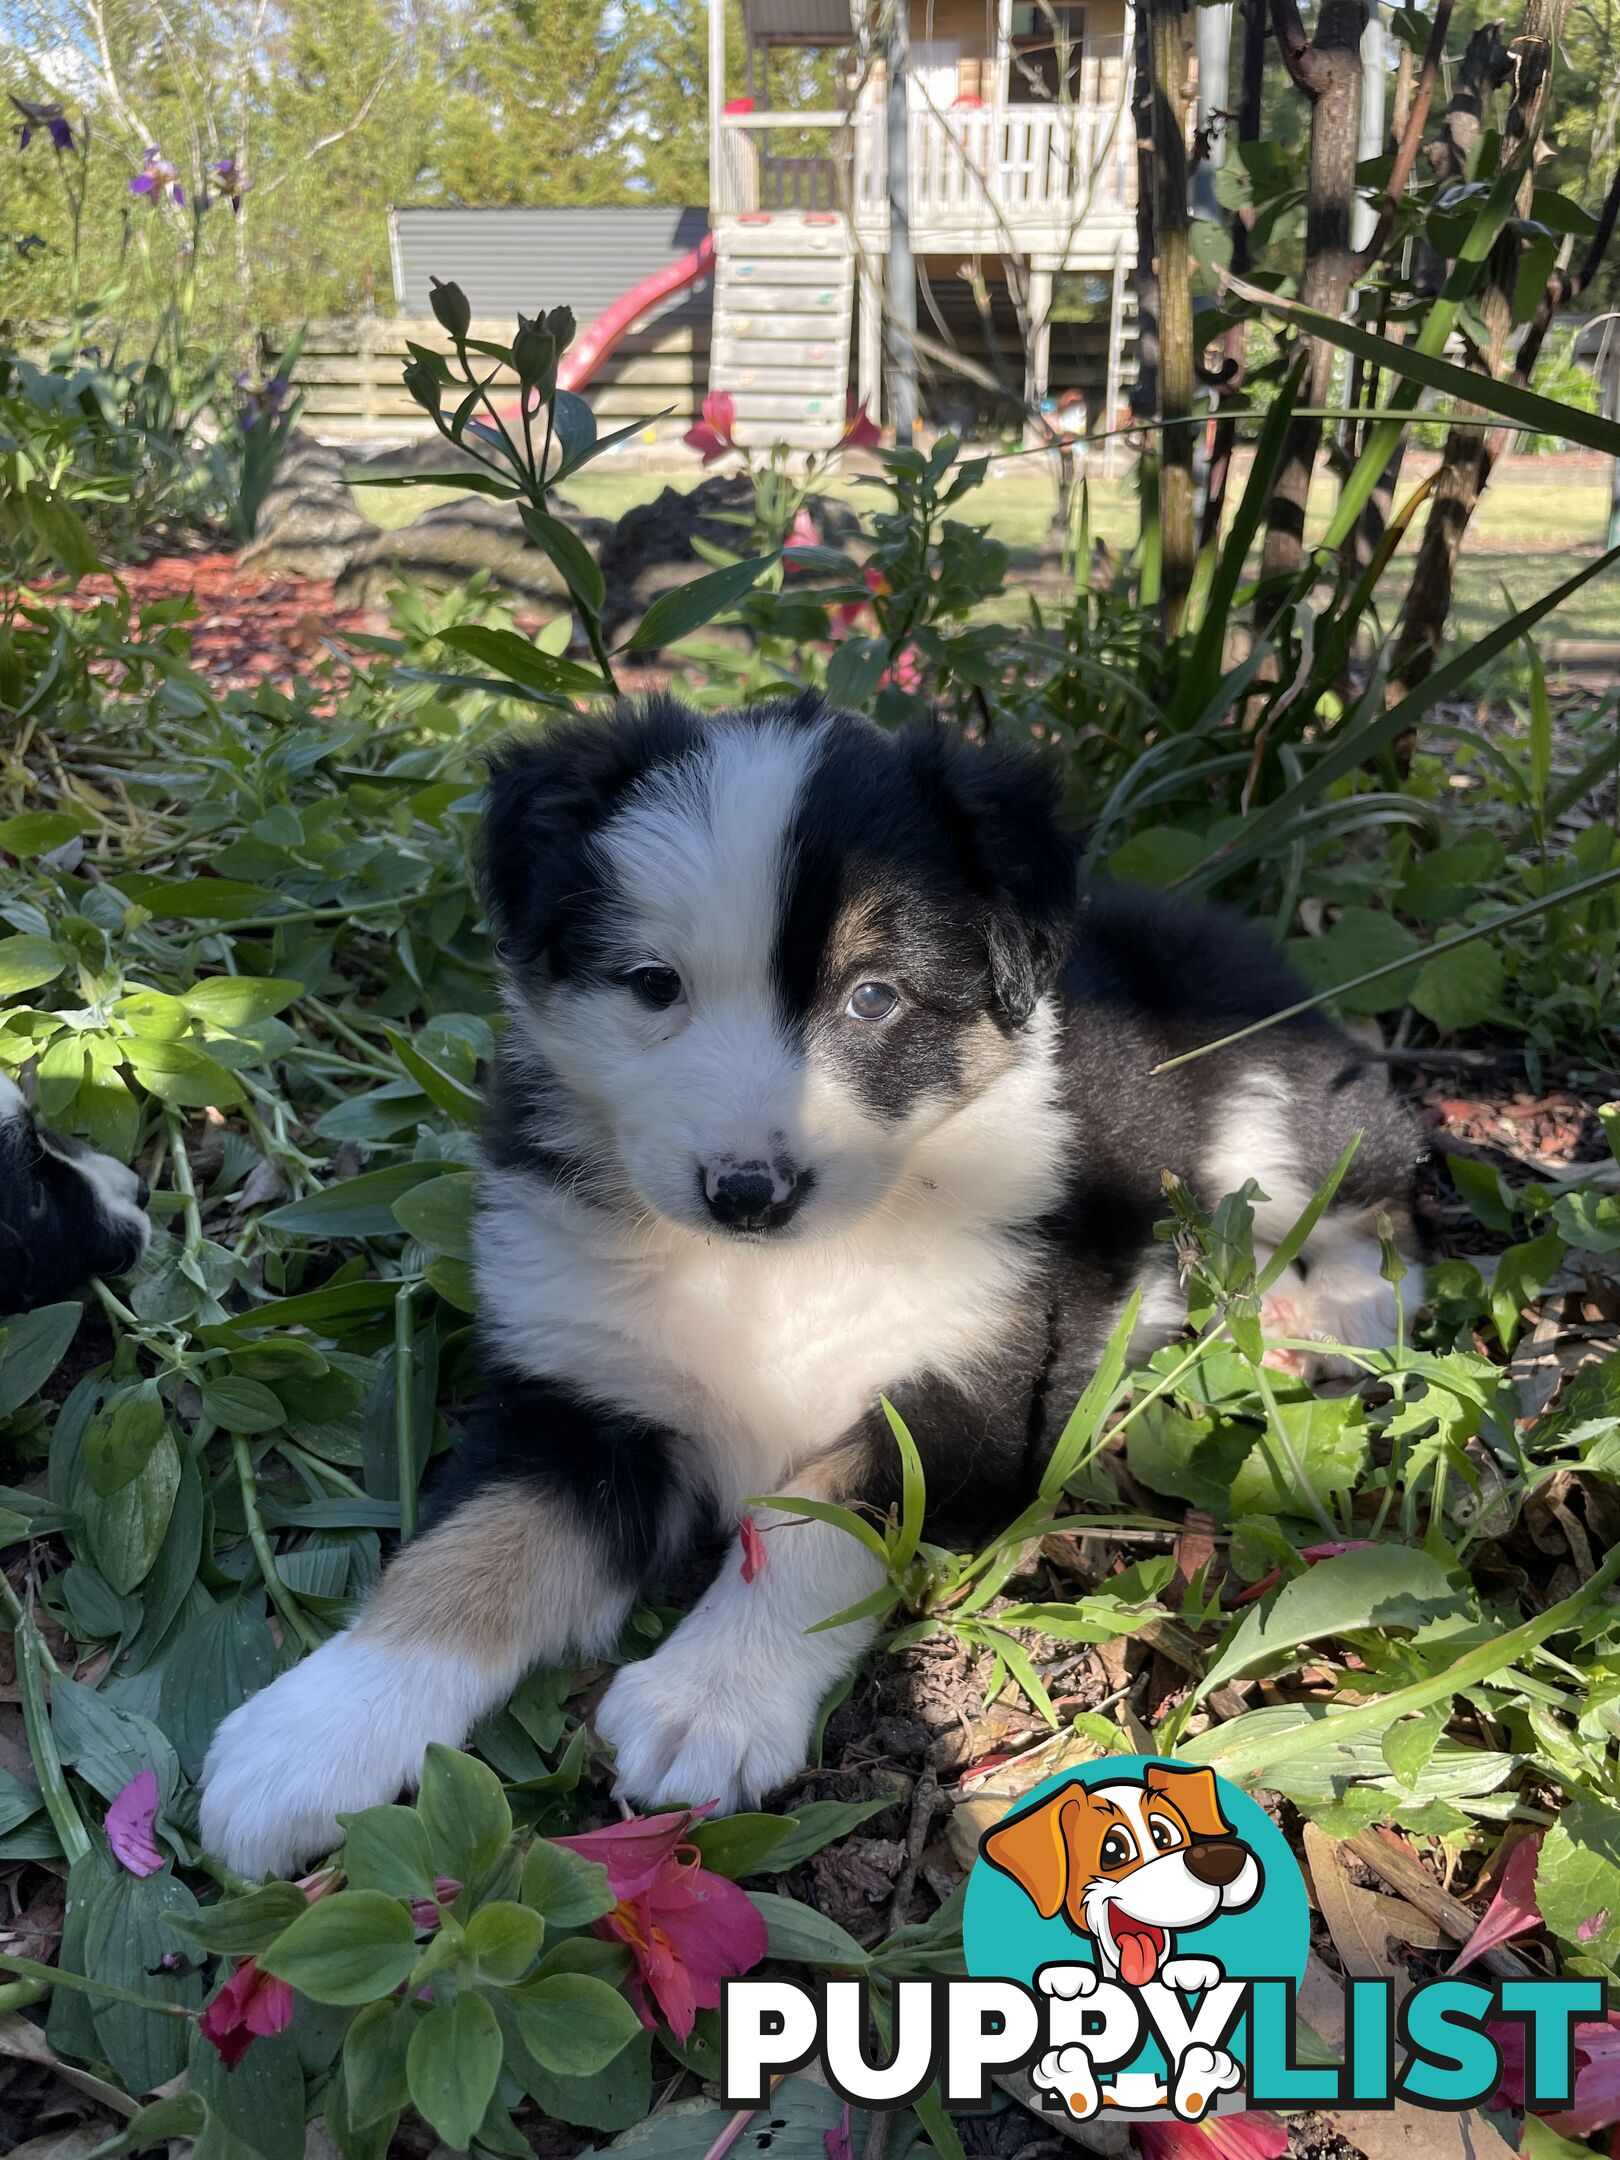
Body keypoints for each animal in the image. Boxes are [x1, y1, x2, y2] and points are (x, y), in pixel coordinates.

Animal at [199, 699, 1416, 1883]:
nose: (749, 1191)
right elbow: (468, 1551)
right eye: (654, 985)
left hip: (1277, 1121)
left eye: (874, 998)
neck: (765, 1274)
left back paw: (1335, 1314)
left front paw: (707, 1701)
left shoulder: (968, 1385)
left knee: (1373, 1187)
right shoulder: (581, 1393)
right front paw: (311, 1737)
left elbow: (813, 1521)